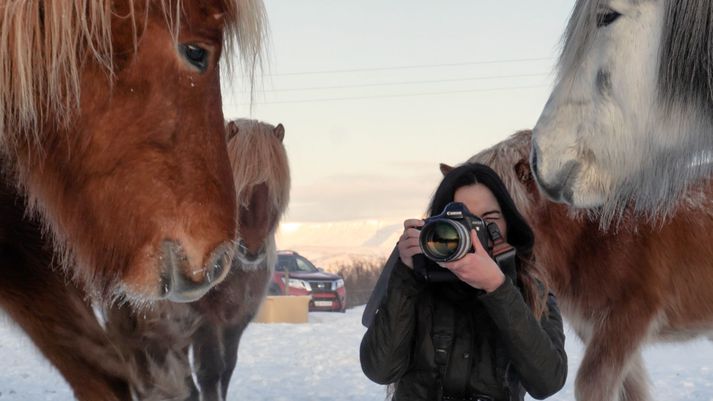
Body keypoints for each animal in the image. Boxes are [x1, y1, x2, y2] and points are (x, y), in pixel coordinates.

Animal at [102, 119, 290, 400]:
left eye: (275, 190)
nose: (252, 249)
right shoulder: (204, 322)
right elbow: (210, 373)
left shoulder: (235, 323)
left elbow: (226, 371)